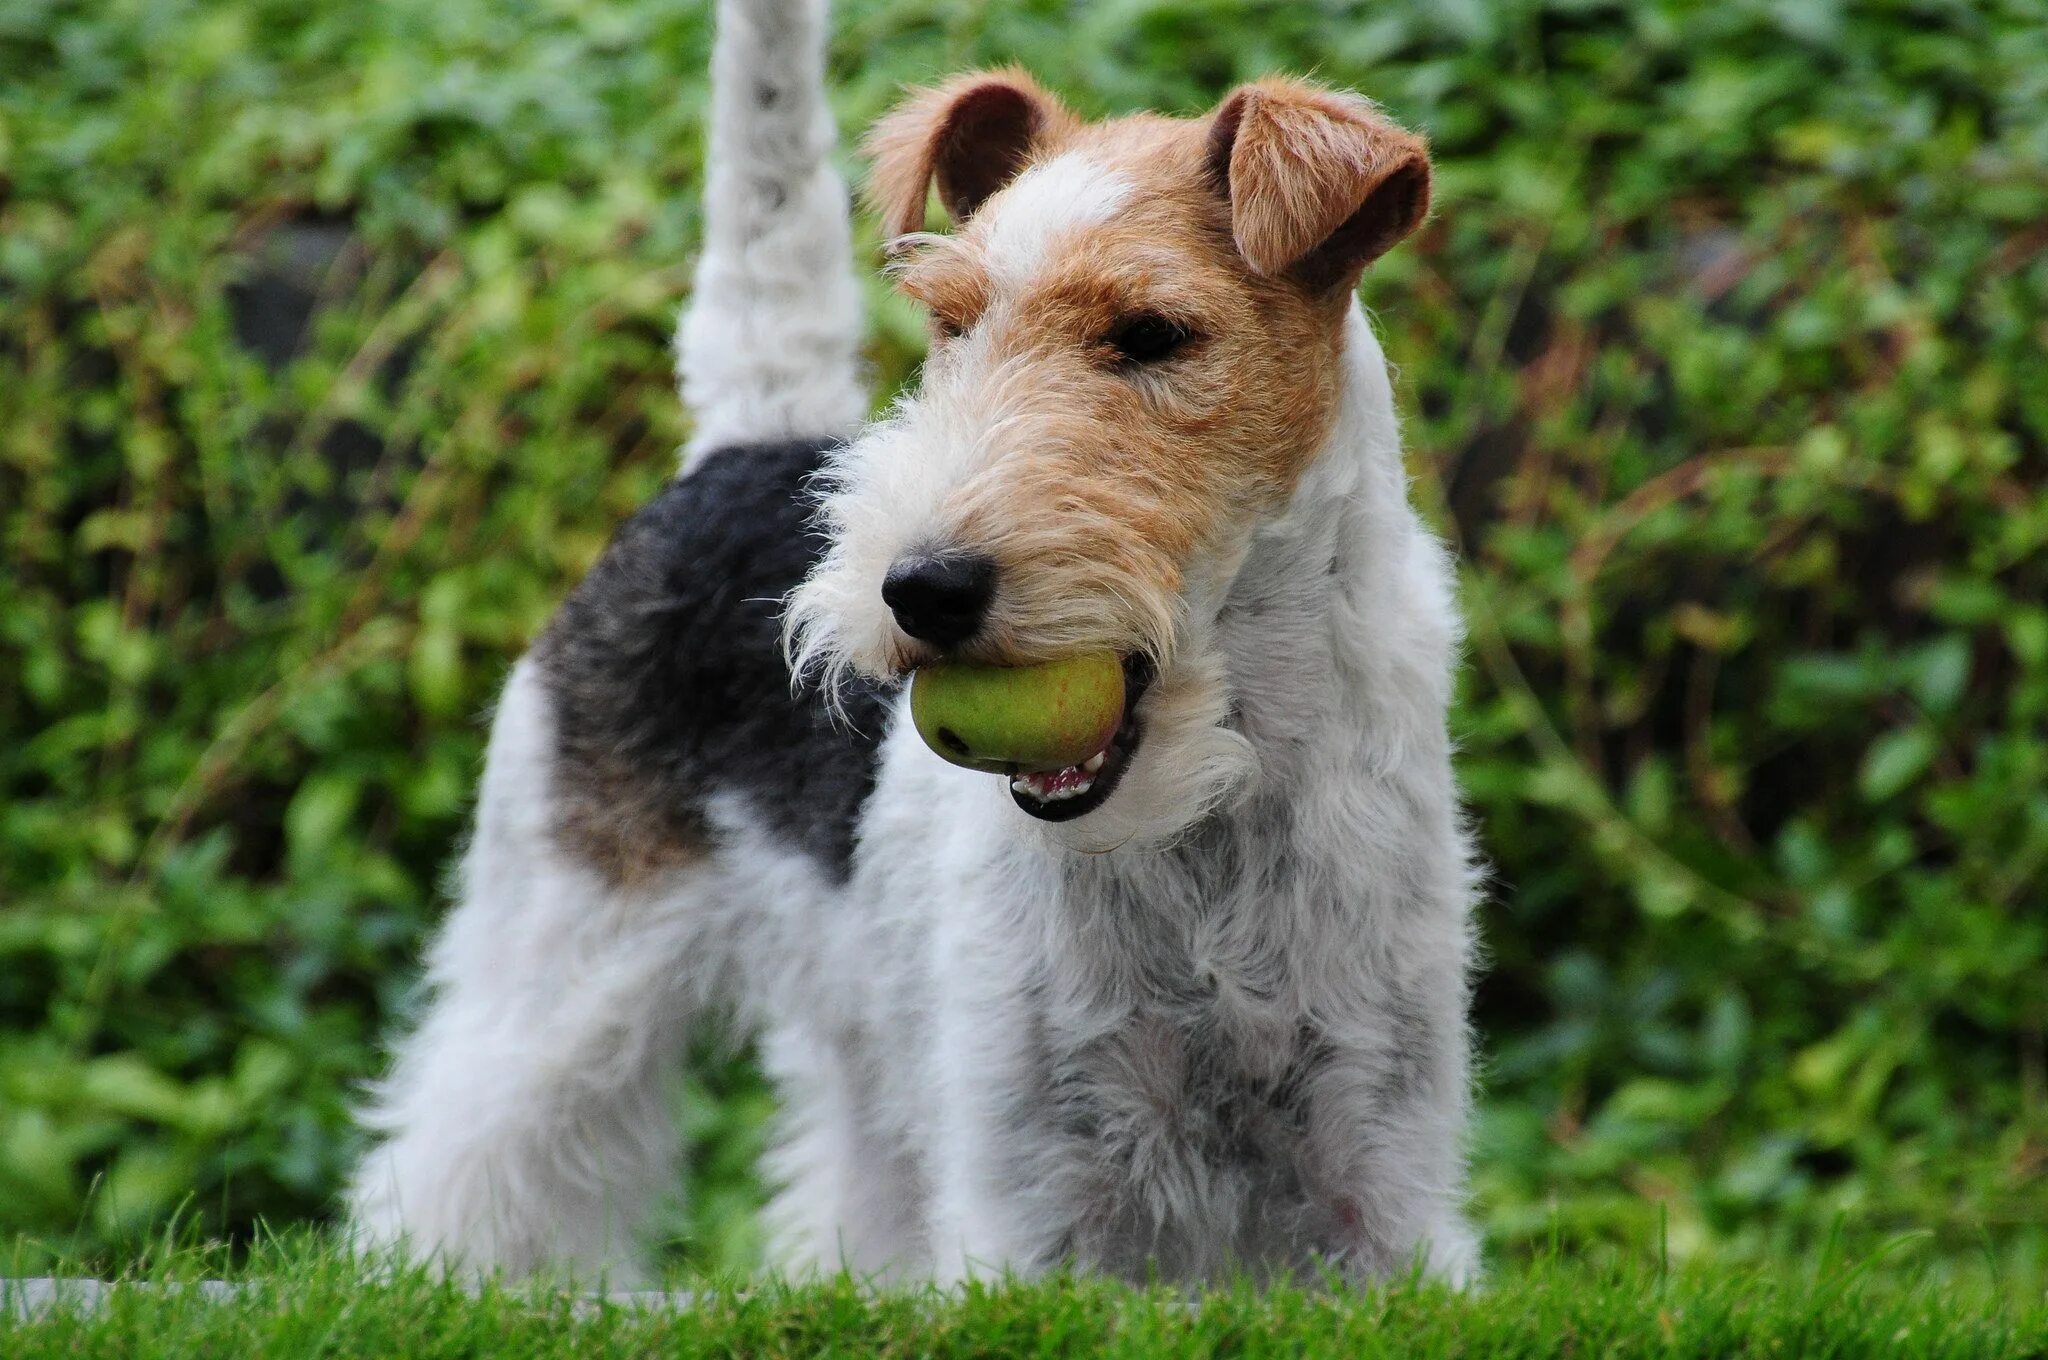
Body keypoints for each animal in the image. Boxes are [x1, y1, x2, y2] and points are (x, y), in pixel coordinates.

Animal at [344, 0, 1482, 1286]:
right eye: (950, 322)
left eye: (1153, 333)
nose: (921, 589)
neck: (1206, 820)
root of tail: (744, 440)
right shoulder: (1032, 1193)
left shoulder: (1379, 1180)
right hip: (558, 952)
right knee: (459, 1149)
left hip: (858, 1047)